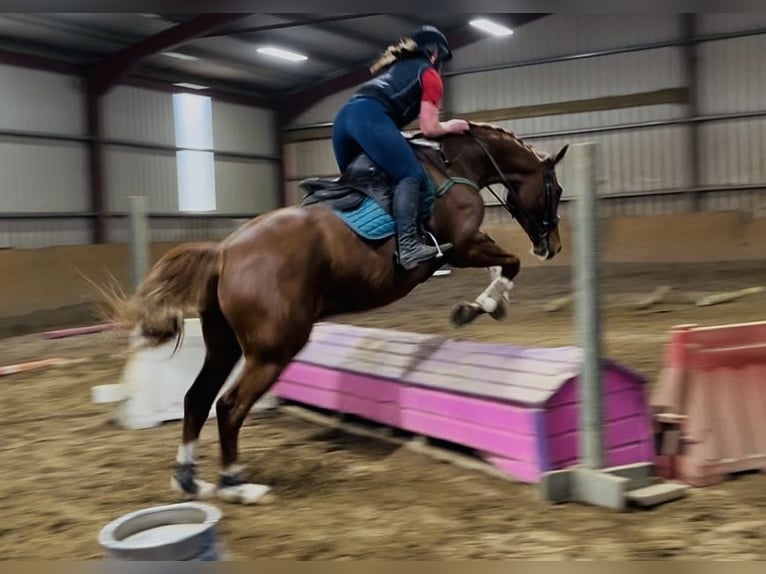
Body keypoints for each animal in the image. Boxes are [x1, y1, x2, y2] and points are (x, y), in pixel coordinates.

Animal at [102, 121, 569, 504]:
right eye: (558, 191)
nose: (553, 248)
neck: (455, 166)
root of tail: (225, 252)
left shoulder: (470, 246)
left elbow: (501, 265)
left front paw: (490, 305)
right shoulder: (464, 245)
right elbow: (510, 263)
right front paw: (480, 307)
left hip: (224, 345)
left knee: (197, 398)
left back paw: (188, 478)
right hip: (274, 349)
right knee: (230, 407)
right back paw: (237, 484)